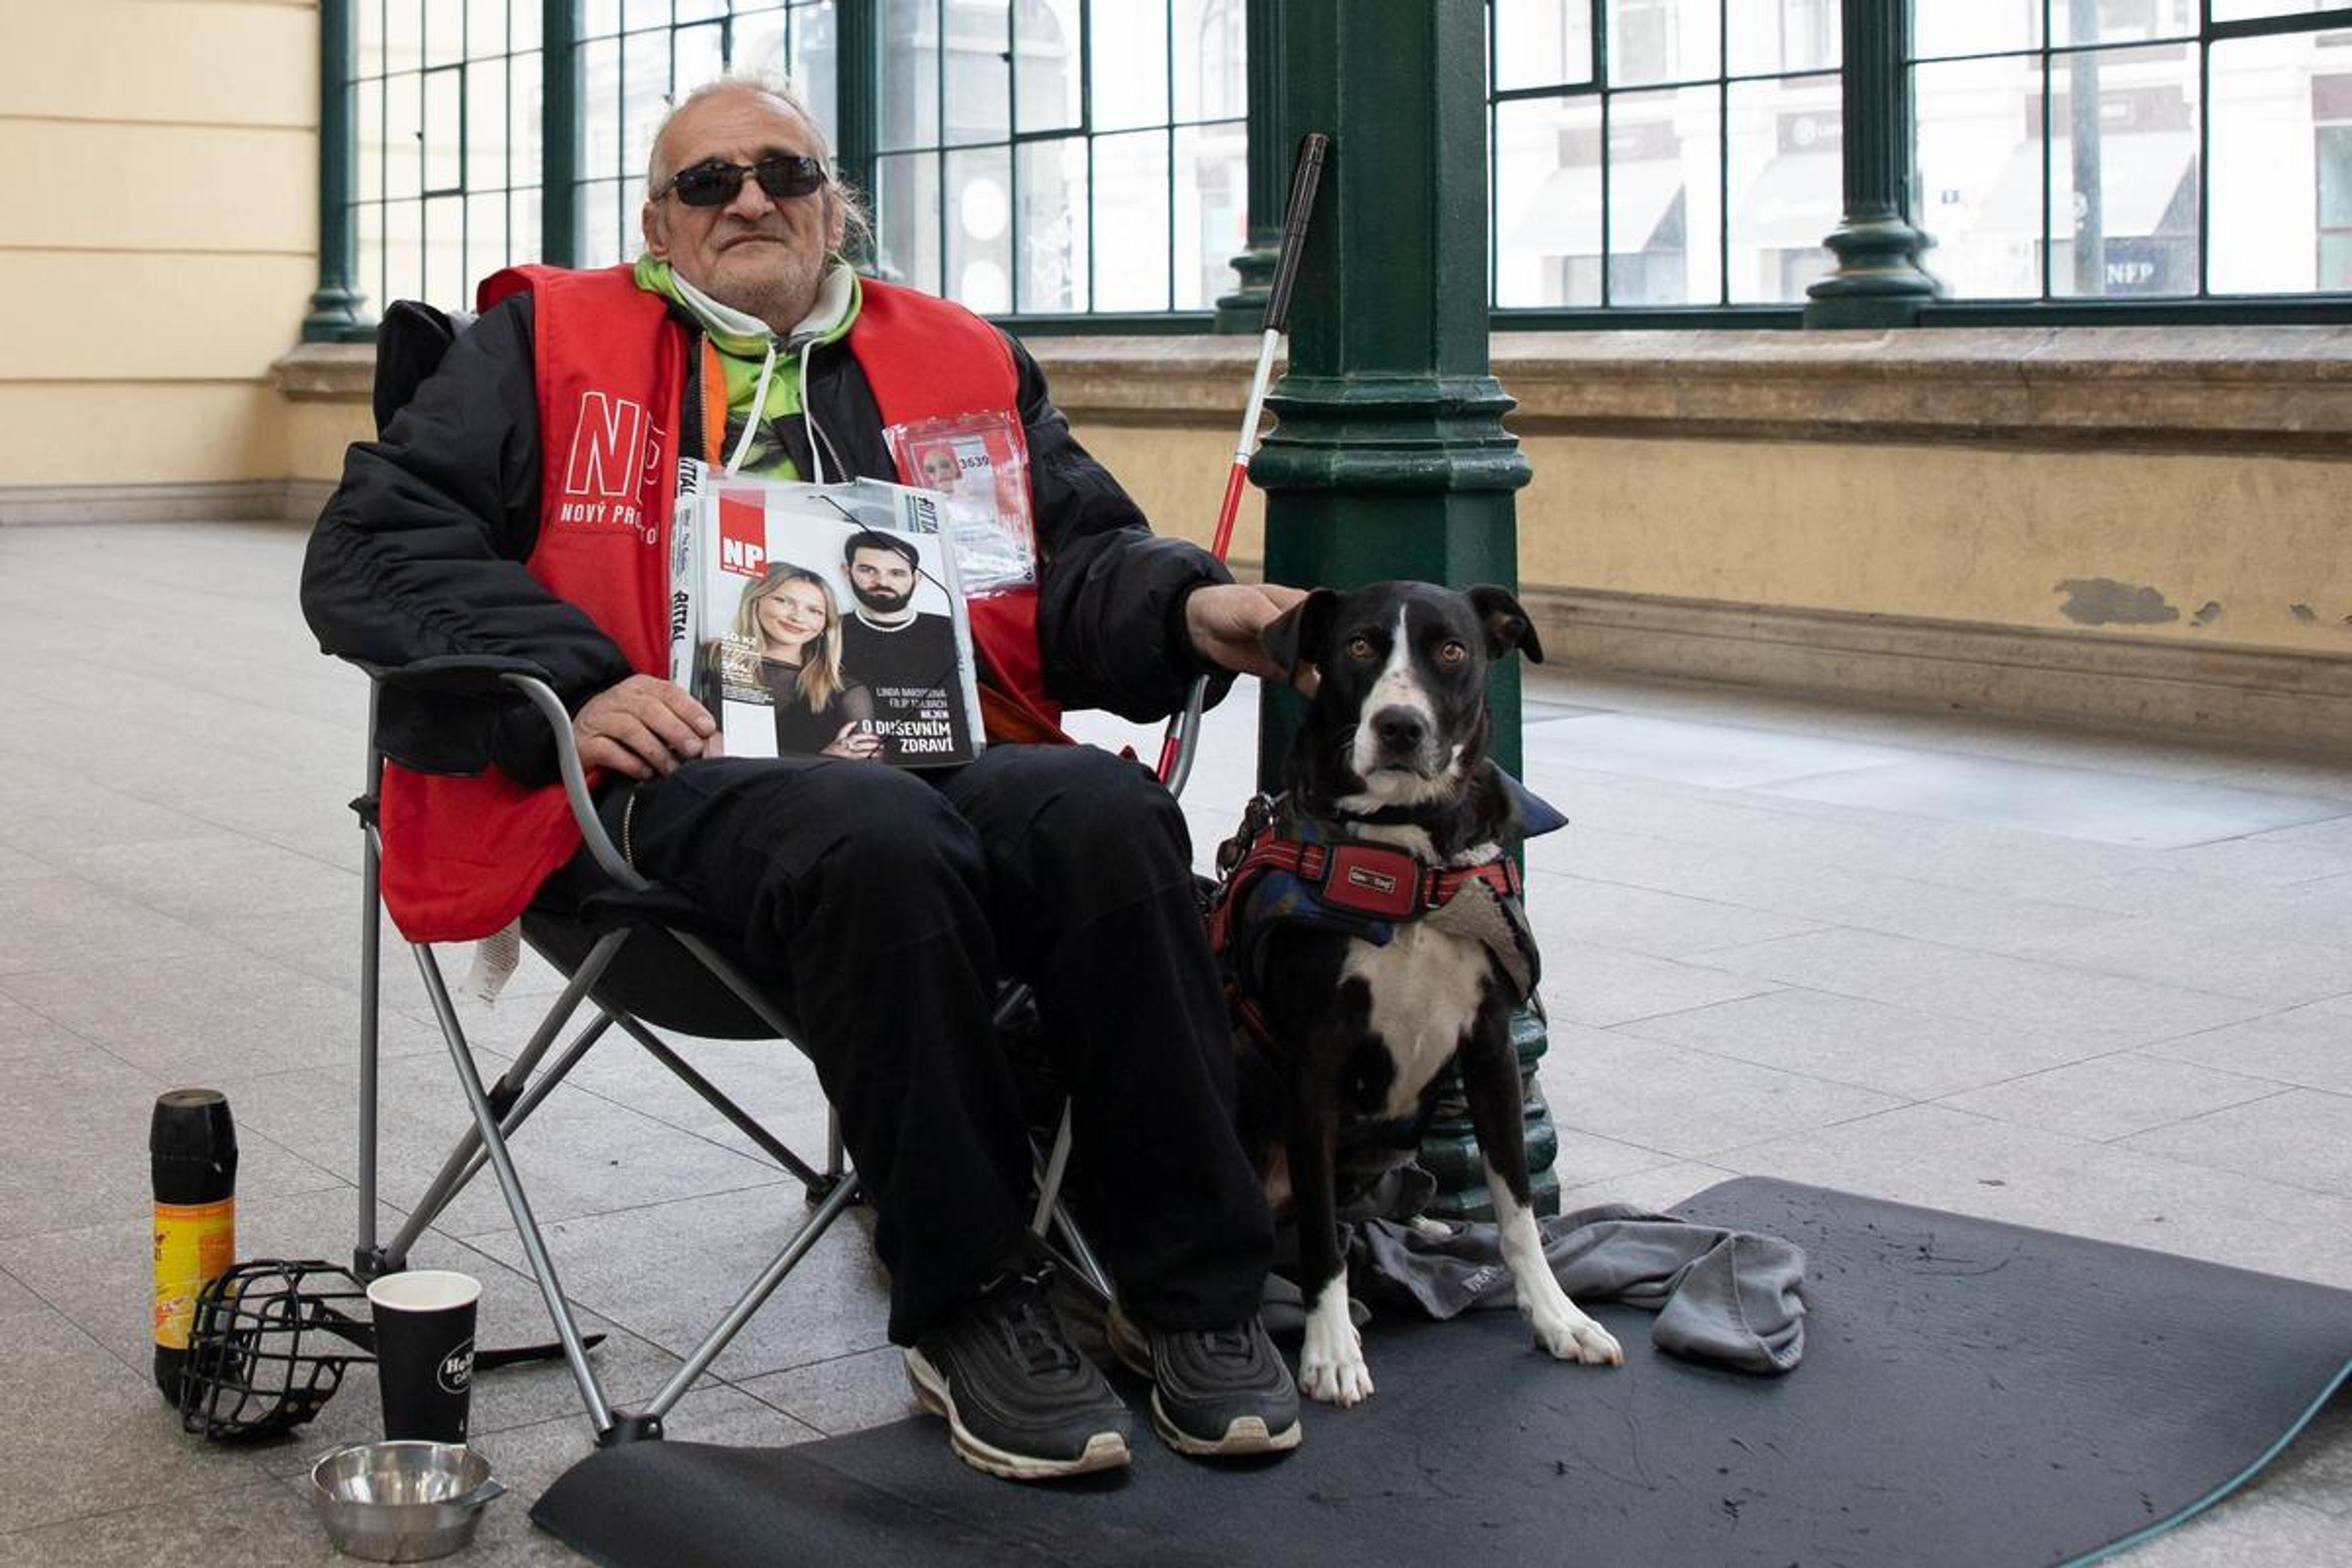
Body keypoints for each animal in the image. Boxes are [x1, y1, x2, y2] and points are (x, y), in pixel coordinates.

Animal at [1213, 581, 1618, 1410]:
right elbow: (1325, 1240)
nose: (1400, 725)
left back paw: (1420, 1228)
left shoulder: (1493, 1047)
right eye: (1360, 645)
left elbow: (1517, 1205)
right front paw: (1332, 1350)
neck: (1406, 859)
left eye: (1453, 650)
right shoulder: (1316, 1064)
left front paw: (1557, 1316)